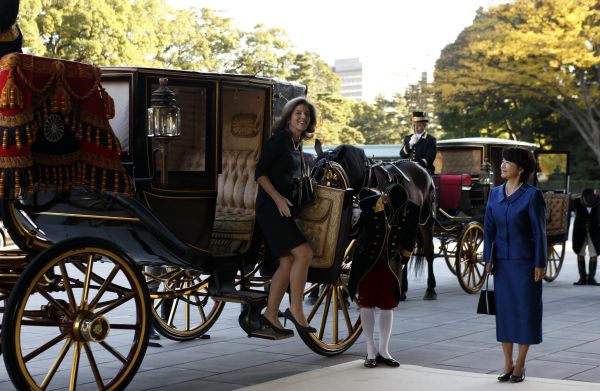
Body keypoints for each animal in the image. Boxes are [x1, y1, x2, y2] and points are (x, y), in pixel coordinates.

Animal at [314, 142, 436, 302]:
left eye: (331, 178)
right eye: (313, 171)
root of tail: (420, 167)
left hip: (424, 221)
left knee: (428, 251)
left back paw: (430, 288)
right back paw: (402, 289)